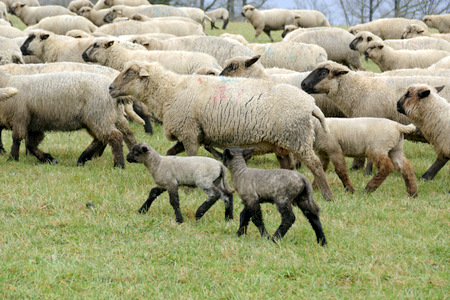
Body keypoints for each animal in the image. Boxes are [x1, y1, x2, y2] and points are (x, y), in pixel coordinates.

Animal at [0, 71, 137, 169]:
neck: (6, 81)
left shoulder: (19, 118)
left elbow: (17, 140)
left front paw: (12, 159)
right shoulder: (34, 125)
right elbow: (31, 145)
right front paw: (48, 159)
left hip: (99, 115)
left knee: (114, 136)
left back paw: (119, 165)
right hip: (107, 117)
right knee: (114, 136)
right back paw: (84, 158)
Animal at [108, 60, 334, 202]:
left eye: (129, 74)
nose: (110, 88)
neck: (170, 91)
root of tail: (311, 104)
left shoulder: (189, 132)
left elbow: (190, 157)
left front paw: (188, 190)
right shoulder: (190, 132)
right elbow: (172, 154)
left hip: (298, 138)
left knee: (315, 165)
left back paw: (327, 195)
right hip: (284, 142)